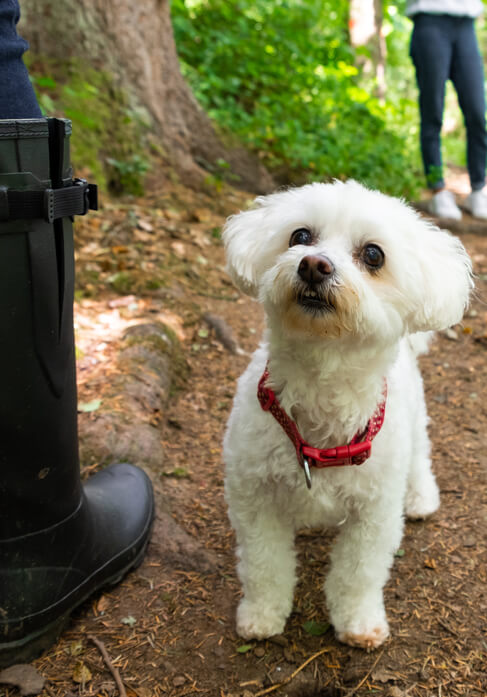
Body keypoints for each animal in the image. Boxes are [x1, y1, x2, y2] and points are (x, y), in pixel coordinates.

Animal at [224, 178, 472, 648]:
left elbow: (359, 574)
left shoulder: (374, 513)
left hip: (413, 425)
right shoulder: (254, 498)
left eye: (373, 255)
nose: (313, 265)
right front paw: (262, 615)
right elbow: (265, 564)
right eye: (300, 236)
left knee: (420, 457)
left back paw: (421, 497)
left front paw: (358, 623)